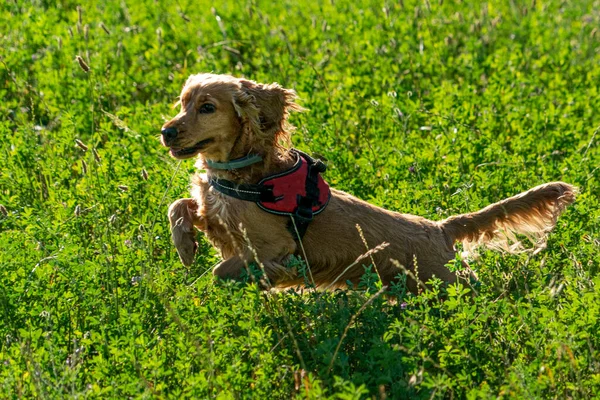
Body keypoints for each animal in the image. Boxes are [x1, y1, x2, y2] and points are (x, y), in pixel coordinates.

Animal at [161, 72, 576, 290]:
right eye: (182, 103)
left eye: (207, 108)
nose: (166, 132)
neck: (243, 174)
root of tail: (440, 228)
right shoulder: (217, 216)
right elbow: (179, 206)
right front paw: (185, 246)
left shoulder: (275, 248)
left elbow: (222, 271)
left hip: (449, 283)